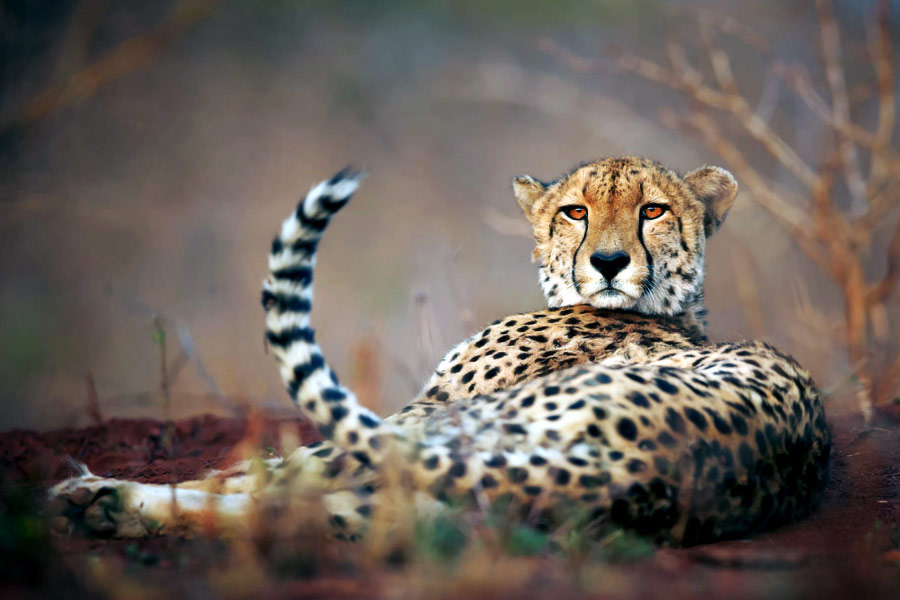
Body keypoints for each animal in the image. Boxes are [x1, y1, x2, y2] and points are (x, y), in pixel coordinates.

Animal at [47, 157, 828, 548]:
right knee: (325, 514)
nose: (608, 262)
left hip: (457, 432)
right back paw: (104, 509)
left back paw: (101, 496)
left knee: (293, 487)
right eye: (575, 210)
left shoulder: (423, 413)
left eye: (654, 210)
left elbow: (258, 467)